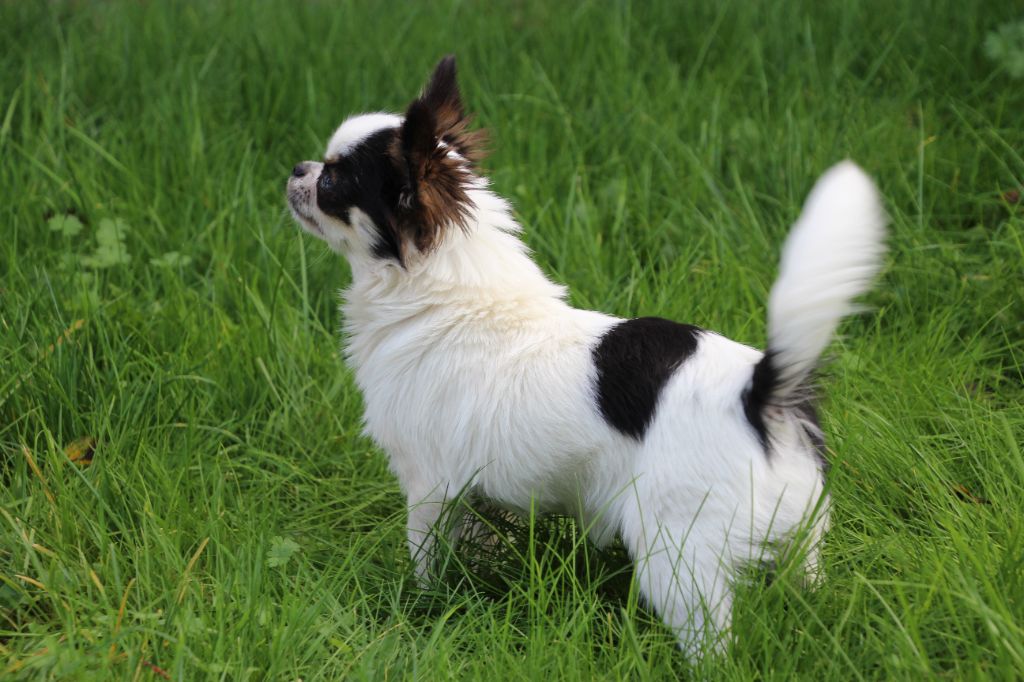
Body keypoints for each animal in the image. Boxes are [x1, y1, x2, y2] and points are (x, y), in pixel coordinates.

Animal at [284, 54, 884, 655]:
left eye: (332, 179)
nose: (296, 167)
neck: (445, 290)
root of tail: (758, 392)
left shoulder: (430, 484)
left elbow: (427, 556)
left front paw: (424, 603)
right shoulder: (474, 490)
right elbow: (481, 542)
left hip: (679, 556)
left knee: (712, 641)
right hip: (802, 536)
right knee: (808, 586)